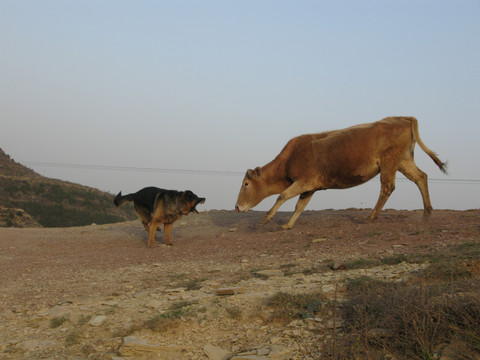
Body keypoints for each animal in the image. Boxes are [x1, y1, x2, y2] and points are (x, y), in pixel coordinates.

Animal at [235, 116, 446, 229]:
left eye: (246, 184)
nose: (237, 207)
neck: (291, 156)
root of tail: (401, 119)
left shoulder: (305, 181)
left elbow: (283, 195)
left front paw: (267, 217)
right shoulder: (310, 188)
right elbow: (299, 206)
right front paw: (288, 224)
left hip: (389, 161)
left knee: (388, 187)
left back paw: (371, 216)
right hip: (403, 161)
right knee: (421, 177)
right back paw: (427, 211)